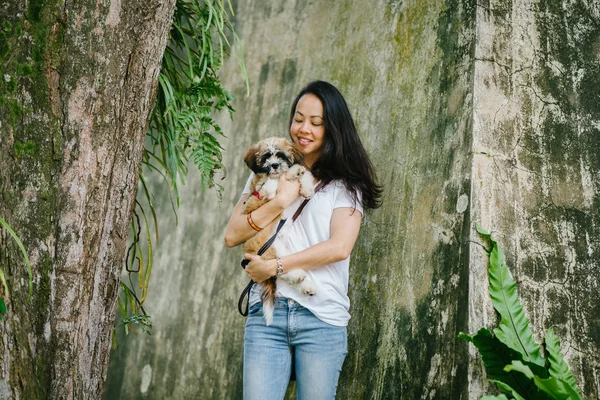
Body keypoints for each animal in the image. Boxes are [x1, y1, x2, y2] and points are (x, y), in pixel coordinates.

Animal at [243, 138, 316, 324]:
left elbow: (306, 175)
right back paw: (299, 277)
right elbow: (271, 185)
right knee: (281, 270)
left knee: (284, 269)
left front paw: (304, 185)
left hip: (287, 251)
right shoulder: (265, 188)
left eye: (281, 155)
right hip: (271, 249)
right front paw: (287, 175)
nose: (274, 165)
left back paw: (306, 286)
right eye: (266, 157)